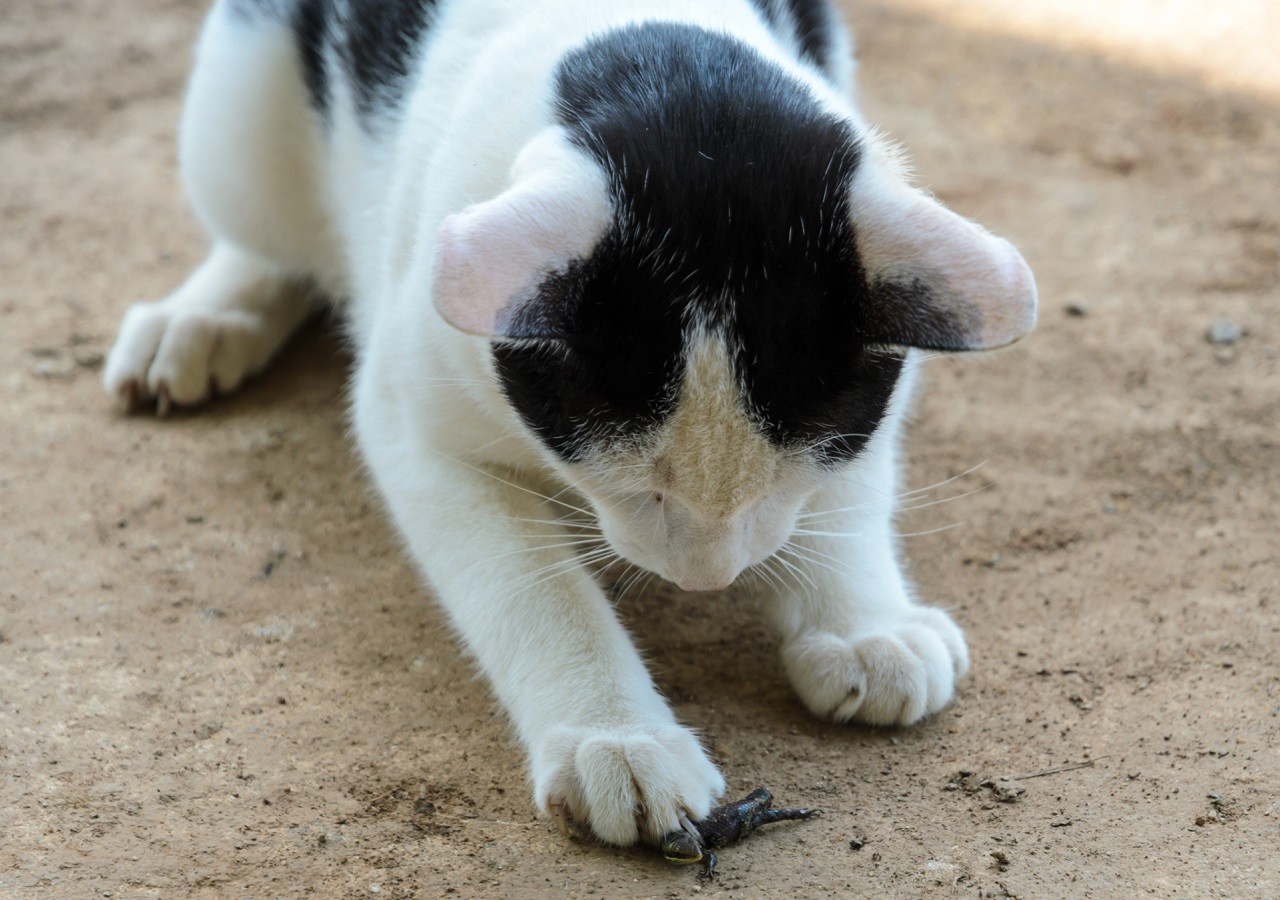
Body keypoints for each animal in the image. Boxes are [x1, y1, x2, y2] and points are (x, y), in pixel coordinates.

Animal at [104, 0, 1034, 850]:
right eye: (641, 488)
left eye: (781, 479)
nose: (707, 577)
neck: (658, 57)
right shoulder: (417, 426)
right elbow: (531, 585)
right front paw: (615, 742)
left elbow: (852, 480)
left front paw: (865, 626)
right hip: (238, 111)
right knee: (264, 232)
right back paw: (204, 318)